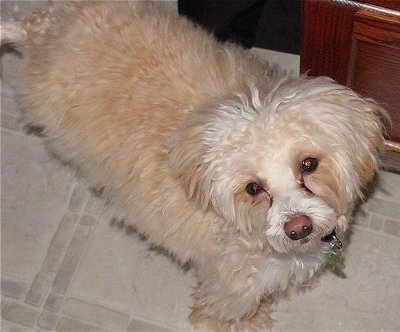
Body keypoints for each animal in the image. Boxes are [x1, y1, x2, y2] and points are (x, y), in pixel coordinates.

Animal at [0, 1, 388, 330]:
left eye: (309, 164)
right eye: (253, 188)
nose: (298, 228)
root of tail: (43, 31)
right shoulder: (231, 285)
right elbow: (231, 309)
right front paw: (246, 322)